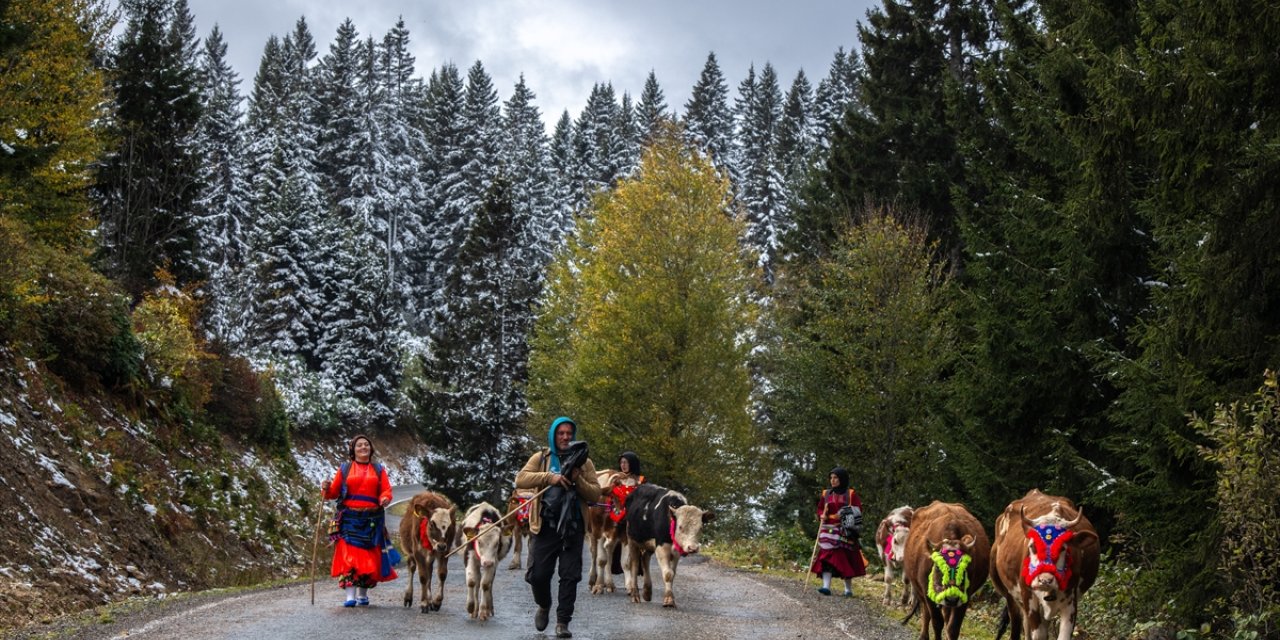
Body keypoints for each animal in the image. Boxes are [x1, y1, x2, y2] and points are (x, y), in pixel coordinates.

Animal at [586, 465, 637, 593]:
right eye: (615, 495)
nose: (624, 516)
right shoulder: (598, 531)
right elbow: (601, 560)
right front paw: (598, 585)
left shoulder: (625, 535)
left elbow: (625, 562)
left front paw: (630, 586)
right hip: (591, 533)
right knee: (594, 555)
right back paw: (592, 580)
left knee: (609, 554)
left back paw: (609, 583)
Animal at [901, 499, 988, 640]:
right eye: (938, 566)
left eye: (965, 567)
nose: (951, 599)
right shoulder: (927, 593)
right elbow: (937, 622)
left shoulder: (965, 596)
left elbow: (953, 627)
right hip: (920, 590)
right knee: (926, 613)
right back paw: (923, 635)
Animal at [988, 488, 1100, 640]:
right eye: (1033, 546)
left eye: (1063, 547)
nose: (1045, 580)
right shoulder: (1029, 599)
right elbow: (1038, 634)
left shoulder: (1070, 604)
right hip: (1010, 595)